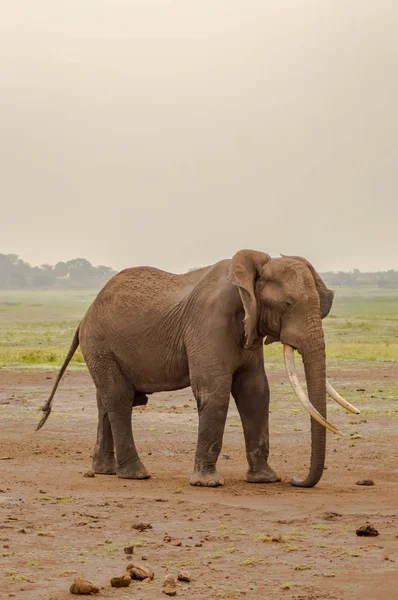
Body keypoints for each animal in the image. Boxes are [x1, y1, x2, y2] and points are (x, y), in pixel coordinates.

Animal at [36, 248, 358, 488]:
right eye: (287, 304)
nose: (295, 479)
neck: (250, 274)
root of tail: (85, 316)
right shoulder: (209, 321)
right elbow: (214, 391)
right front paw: (208, 483)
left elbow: (255, 392)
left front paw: (264, 480)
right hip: (100, 343)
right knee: (118, 398)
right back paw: (136, 474)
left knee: (105, 399)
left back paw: (105, 471)